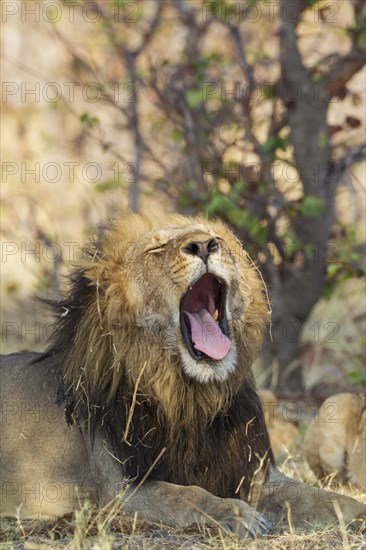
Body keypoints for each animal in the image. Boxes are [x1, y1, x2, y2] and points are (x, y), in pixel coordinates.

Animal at [0, 212, 364, 540]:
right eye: (155, 248)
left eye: (214, 238)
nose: (203, 246)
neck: (193, 397)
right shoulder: (121, 490)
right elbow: (187, 495)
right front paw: (236, 514)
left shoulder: (256, 473)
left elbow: (324, 498)